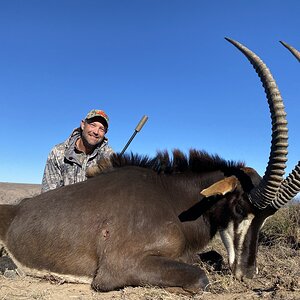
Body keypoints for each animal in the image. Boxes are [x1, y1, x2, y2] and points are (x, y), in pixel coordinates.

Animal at [0, 38, 300, 292]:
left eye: (267, 217)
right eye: (239, 207)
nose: (247, 274)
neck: (172, 198)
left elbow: (210, 256)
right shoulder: (118, 267)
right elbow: (199, 277)